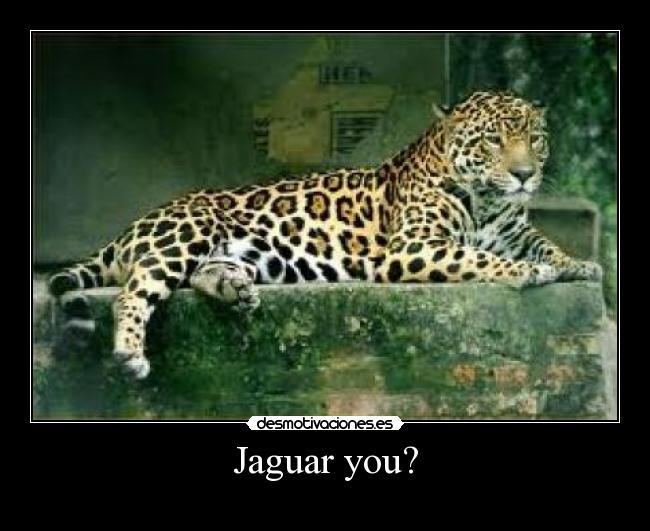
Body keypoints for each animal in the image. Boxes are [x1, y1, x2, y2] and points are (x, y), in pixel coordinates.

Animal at [48, 90, 602, 379]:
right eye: (492, 141)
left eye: (535, 139)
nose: (525, 175)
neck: (487, 201)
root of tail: (132, 227)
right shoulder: (412, 248)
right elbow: (478, 258)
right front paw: (527, 271)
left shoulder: (513, 228)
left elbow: (545, 243)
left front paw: (580, 264)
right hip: (188, 232)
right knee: (134, 290)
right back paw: (129, 353)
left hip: (240, 252)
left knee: (199, 275)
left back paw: (234, 289)